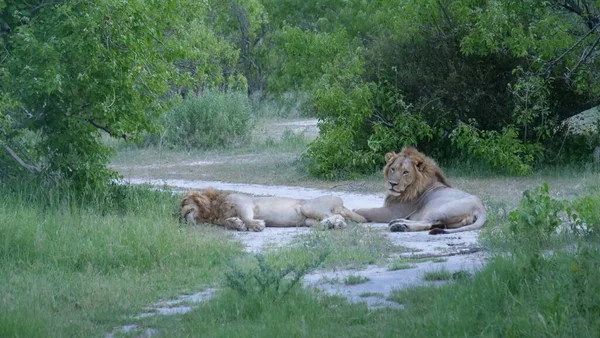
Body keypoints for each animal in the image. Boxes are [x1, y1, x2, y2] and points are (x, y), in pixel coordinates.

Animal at [354, 148, 486, 235]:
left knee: (426, 223)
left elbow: (367, 211)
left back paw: (398, 226)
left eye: (405, 172)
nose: (392, 184)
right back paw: (398, 223)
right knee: (434, 224)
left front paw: (355, 211)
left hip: (439, 209)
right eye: (393, 169)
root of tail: (481, 209)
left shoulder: (392, 212)